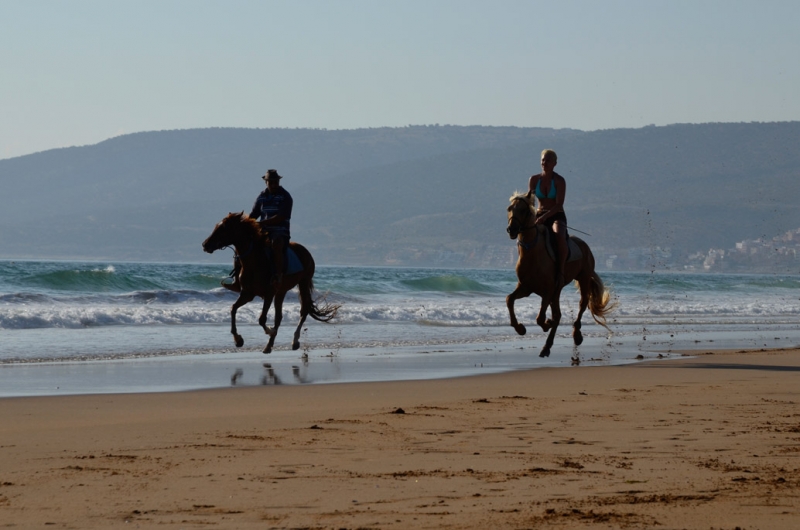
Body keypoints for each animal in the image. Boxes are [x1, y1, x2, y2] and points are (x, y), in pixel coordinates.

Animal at [202, 212, 340, 352]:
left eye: (224, 228)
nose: (205, 244)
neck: (255, 262)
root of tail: (305, 251)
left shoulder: (269, 294)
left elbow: (262, 319)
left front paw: (270, 331)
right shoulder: (247, 294)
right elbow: (233, 309)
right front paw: (238, 339)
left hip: (303, 283)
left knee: (303, 311)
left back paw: (294, 341)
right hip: (281, 291)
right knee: (279, 317)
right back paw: (269, 345)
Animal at [506, 192, 612, 356]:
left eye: (523, 210)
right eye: (509, 209)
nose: (511, 229)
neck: (533, 255)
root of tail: (584, 245)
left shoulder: (548, 291)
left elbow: (540, 318)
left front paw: (546, 324)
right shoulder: (526, 288)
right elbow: (509, 299)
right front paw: (520, 328)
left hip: (583, 278)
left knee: (581, 304)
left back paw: (575, 336)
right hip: (557, 291)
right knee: (558, 314)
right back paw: (547, 346)